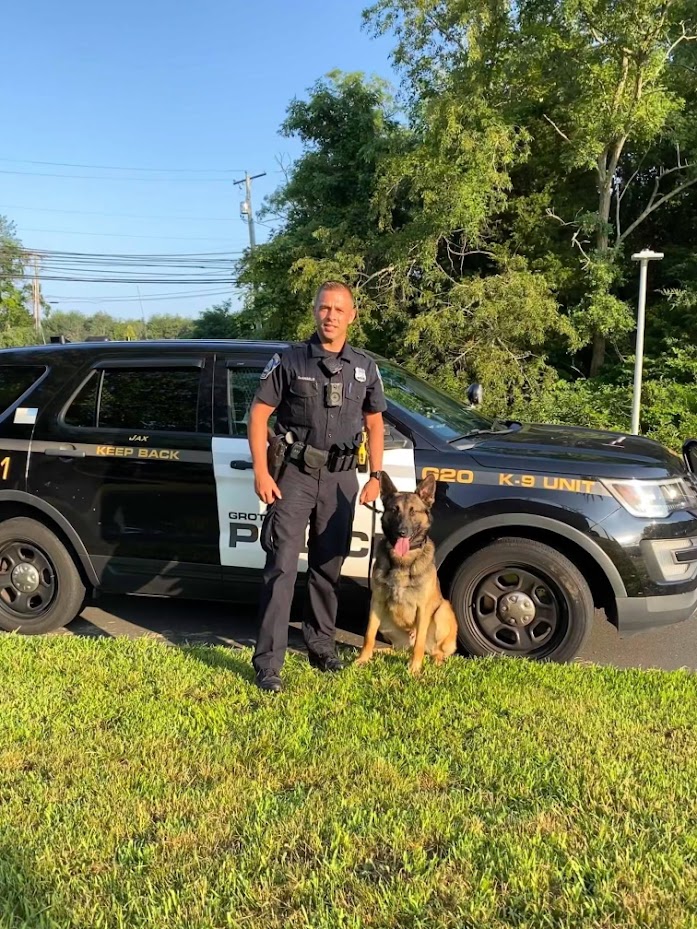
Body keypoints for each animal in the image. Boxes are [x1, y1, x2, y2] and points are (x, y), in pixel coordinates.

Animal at [356, 472, 460, 676]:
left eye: (413, 512)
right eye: (394, 510)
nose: (401, 532)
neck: (402, 561)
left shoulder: (423, 608)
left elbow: (419, 643)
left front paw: (414, 669)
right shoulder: (377, 602)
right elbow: (368, 635)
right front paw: (363, 659)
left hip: (442, 611)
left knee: (436, 651)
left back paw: (435, 662)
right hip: (386, 621)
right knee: (398, 649)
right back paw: (379, 653)